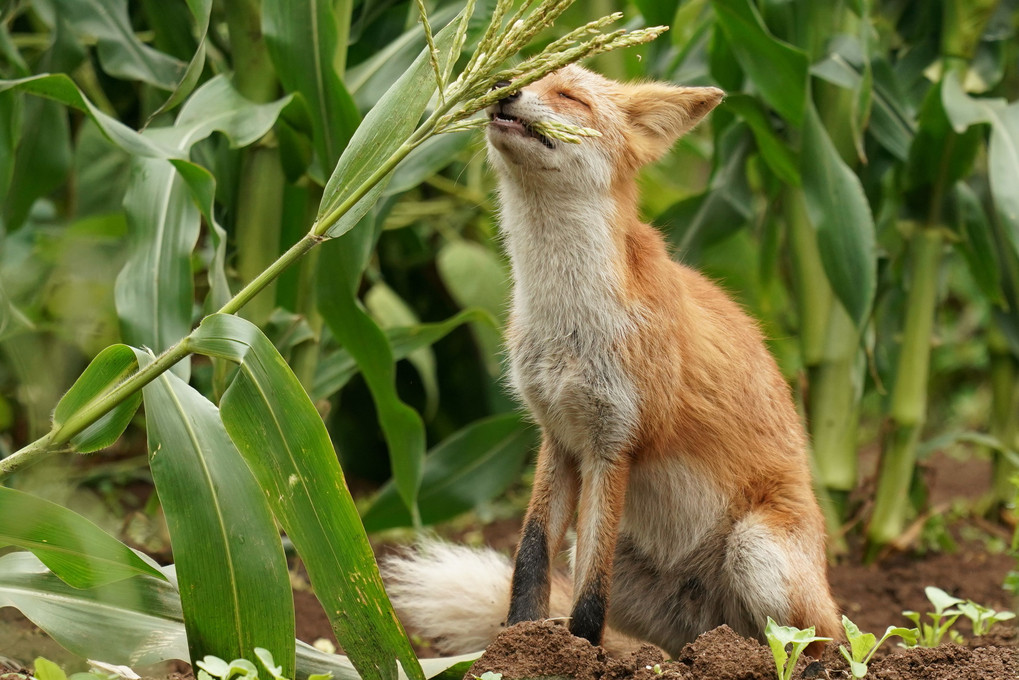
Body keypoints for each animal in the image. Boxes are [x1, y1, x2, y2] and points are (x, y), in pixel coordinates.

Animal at [385, 65, 839, 660]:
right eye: (531, 73)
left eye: (570, 97)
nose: (503, 83)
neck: (567, 321)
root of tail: (719, 629)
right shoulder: (557, 436)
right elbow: (529, 559)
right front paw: (518, 646)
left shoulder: (613, 442)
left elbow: (588, 598)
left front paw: (572, 653)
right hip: (635, 576)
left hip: (757, 551)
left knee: (831, 642)